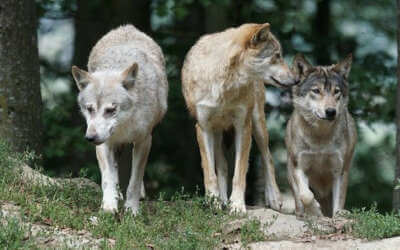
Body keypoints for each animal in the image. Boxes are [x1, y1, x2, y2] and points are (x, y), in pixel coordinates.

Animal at [70, 24, 167, 214]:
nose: (90, 138)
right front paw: (109, 206)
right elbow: (108, 178)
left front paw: (132, 209)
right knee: (114, 171)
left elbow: (135, 180)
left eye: (111, 110)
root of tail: (127, 27)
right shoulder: (104, 144)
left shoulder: (144, 141)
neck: (123, 127)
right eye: (90, 109)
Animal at [181, 23, 296, 213]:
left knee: (268, 158)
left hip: (258, 124)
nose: (297, 79)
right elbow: (210, 172)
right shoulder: (203, 128)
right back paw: (222, 200)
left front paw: (237, 205)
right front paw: (213, 202)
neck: (224, 83)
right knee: (222, 166)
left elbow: (240, 173)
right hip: (217, 133)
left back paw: (274, 198)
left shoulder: (243, 126)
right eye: (277, 56)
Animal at [286, 54, 358, 217]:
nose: (331, 112)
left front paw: (338, 215)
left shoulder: (340, 170)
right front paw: (315, 211)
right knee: (299, 199)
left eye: (336, 91)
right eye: (316, 91)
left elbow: (339, 201)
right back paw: (303, 214)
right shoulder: (298, 166)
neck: (320, 138)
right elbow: (306, 195)